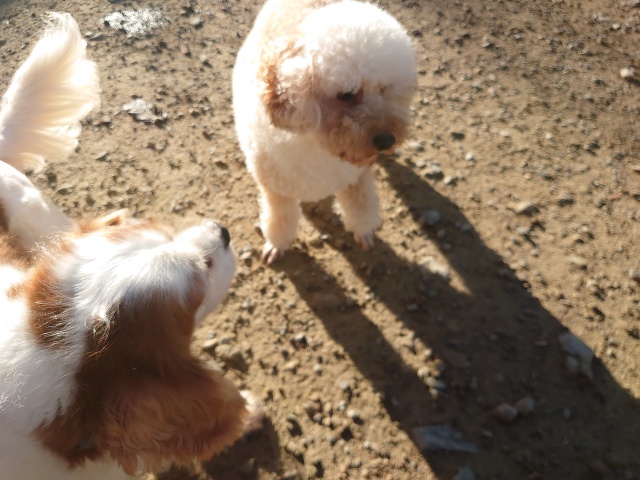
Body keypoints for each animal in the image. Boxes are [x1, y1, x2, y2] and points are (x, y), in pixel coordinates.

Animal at [233, 0, 417, 263]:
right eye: (346, 94)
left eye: (383, 88)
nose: (386, 140)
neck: (318, 147)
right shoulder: (275, 190)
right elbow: (280, 220)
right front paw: (276, 245)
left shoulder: (356, 177)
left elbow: (360, 207)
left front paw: (364, 232)